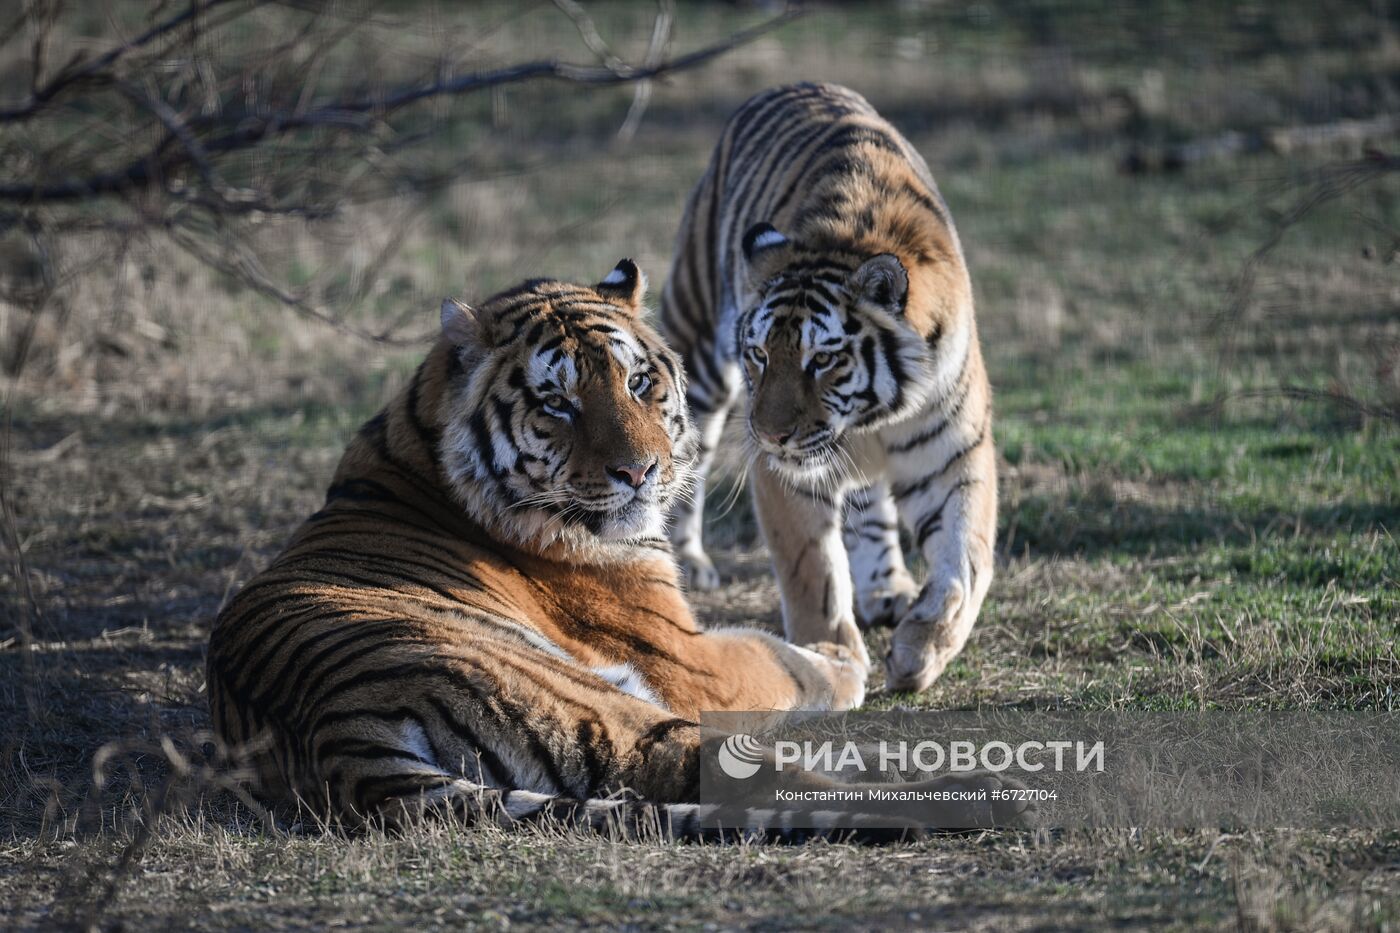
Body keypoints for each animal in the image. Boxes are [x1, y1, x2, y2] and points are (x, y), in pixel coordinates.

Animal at [207, 259, 1024, 834]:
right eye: (557, 403)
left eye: (637, 382)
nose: (641, 471)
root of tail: (337, 732)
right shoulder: (687, 658)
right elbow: (775, 656)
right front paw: (839, 661)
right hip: (608, 710)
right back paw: (989, 790)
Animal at [663, 81, 1002, 689]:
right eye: (758, 354)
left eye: (821, 359)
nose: (770, 436)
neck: (874, 415)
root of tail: (794, 84)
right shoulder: (785, 475)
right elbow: (812, 568)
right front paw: (830, 654)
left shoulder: (955, 455)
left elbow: (965, 565)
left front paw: (919, 652)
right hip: (696, 344)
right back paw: (690, 564)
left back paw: (887, 590)